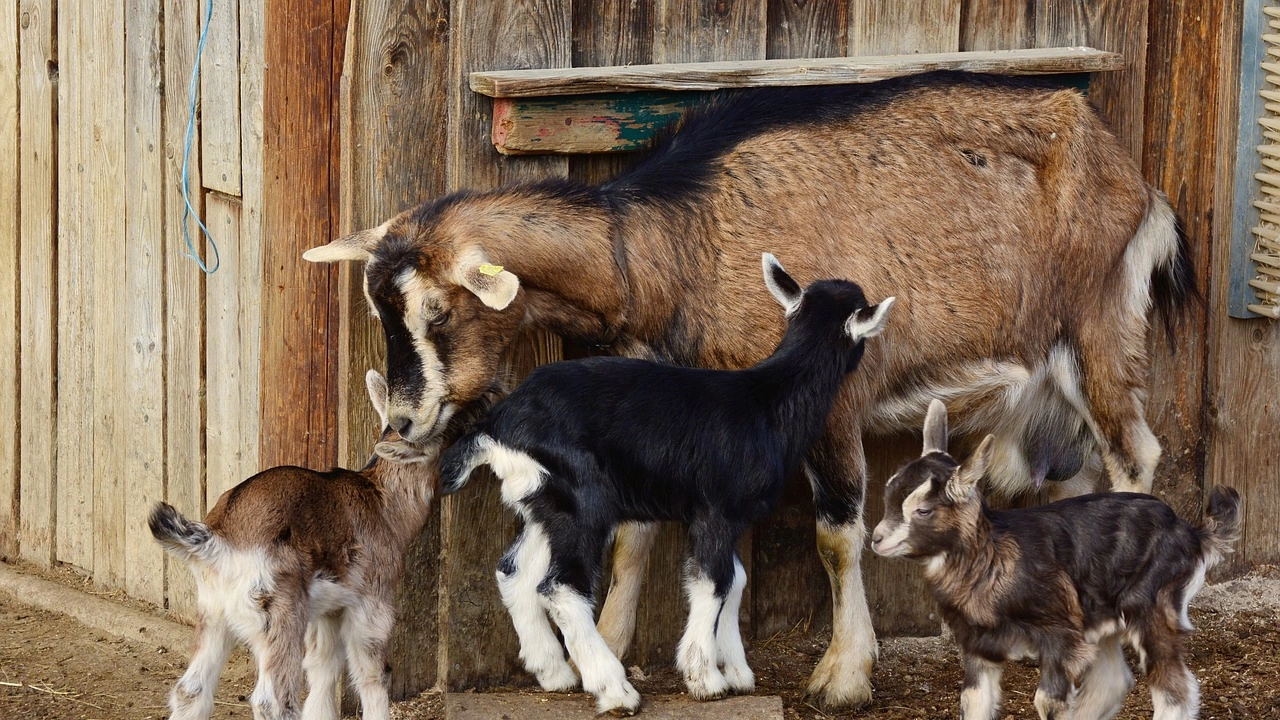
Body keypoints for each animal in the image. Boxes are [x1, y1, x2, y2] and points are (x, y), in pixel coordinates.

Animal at [304, 73, 1192, 707]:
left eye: (438, 309)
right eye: (378, 308)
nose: (403, 424)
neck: (672, 245)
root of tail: (1131, 174)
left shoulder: (832, 402)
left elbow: (838, 535)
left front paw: (842, 675)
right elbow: (636, 538)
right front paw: (614, 647)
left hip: (1097, 324)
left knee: (1133, 452)